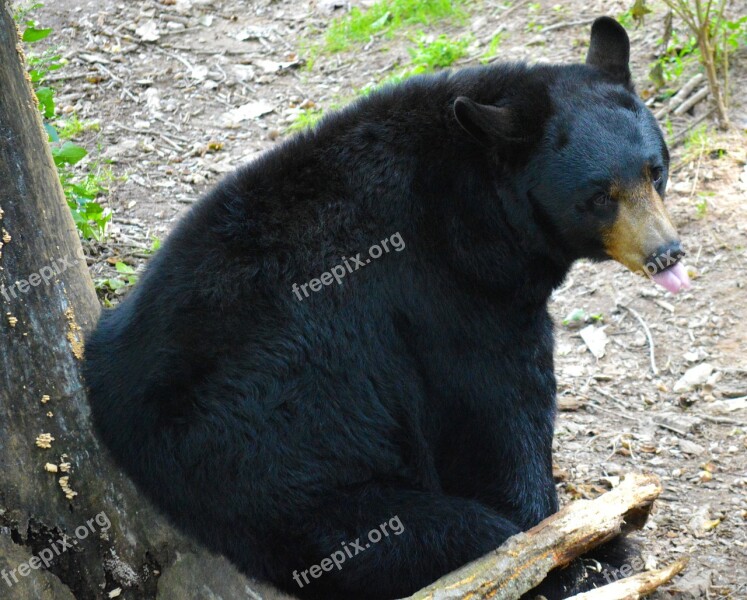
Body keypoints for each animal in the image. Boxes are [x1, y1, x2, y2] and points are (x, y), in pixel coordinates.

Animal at [83, 17, 688, 600]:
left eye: (655, 170)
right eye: (599, 197)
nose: (666, 252)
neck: (477, 204)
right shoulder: (448, 296)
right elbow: (498, 409)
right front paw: (570, 541)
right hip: (272, 471)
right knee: (420, 533)